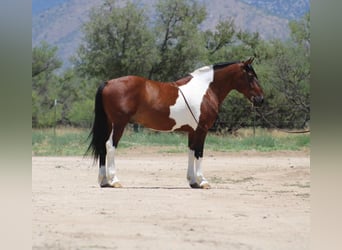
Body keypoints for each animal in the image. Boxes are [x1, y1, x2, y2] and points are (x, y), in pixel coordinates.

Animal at [87, 57, 264, 188]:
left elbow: (191, 151)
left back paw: (104, 181)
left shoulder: (193, 131)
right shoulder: (202, 130)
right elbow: (199, 153)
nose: (261, 99)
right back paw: (114, 180)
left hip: (109, 123)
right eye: (250, 76)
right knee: (110, 146)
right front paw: (203, 181)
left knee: (102, 146)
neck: (205, 89)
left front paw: (193, 181)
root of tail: (108, 82)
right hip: (119, 124)